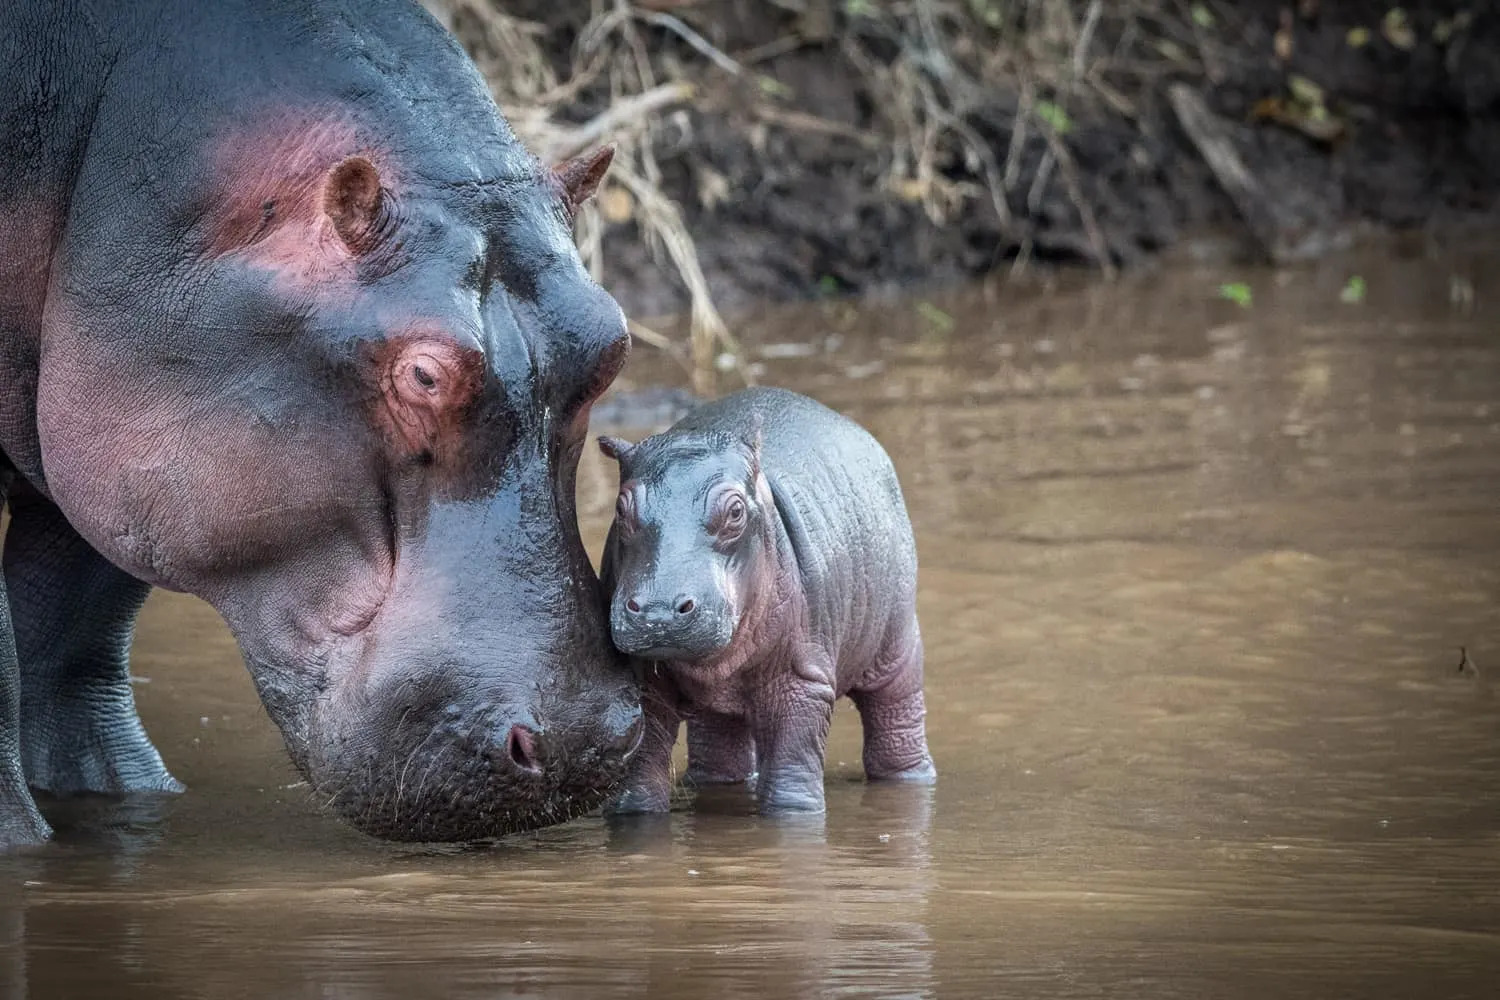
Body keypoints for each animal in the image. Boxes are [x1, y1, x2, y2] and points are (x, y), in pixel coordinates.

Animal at [0, 0, 639, 851]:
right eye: (424, 375)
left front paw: (127, 803)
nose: (582, 742)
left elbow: (68, 638)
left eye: (610, 342)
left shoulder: (107, 452)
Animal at [600, 383, 936, 815]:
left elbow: (792, 773)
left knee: (896, 718)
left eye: (735, 511)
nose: (659, 612)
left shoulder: (803, 681)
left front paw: (795, 813)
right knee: (720, 748)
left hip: (898, 645)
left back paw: (910, 777)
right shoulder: (643, 684)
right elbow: (640, 776)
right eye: (620, 507)